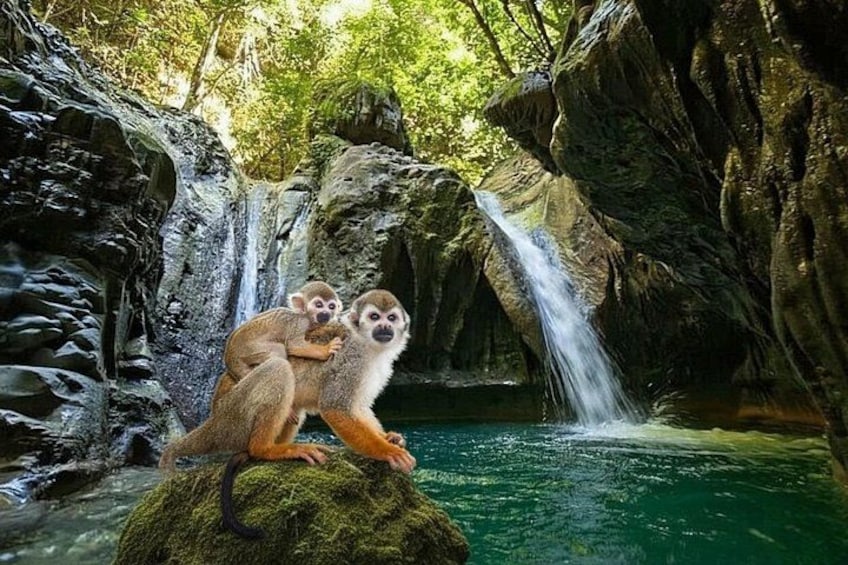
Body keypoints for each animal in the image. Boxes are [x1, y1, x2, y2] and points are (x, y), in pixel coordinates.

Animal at [209, 280, 344, 413]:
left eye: (331, 306)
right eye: (319, 305)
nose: (325, 313)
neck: (305, 315)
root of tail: (229, 355)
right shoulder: (299, 323)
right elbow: (295, 345)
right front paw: (326, 350)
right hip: (250, 350)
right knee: (278, 350)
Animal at [218, 289, 415, 538]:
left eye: (391, 318)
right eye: (374, 317)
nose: (384, 327)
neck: (368, 345)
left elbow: (358, 407)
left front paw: (389, 438)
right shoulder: (351, 359)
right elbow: (335, 407)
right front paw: (388, 452)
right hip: (235, 410)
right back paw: (265, 450)